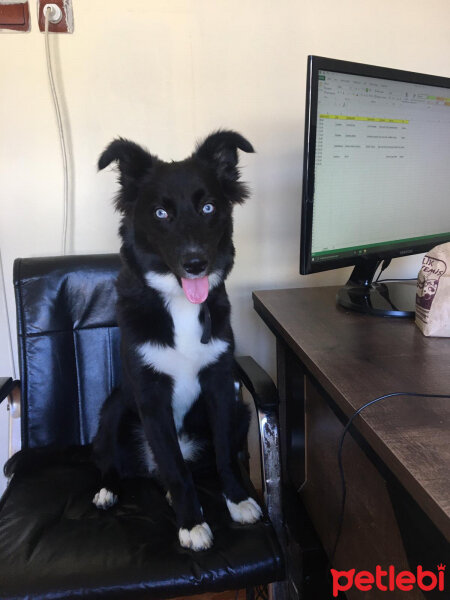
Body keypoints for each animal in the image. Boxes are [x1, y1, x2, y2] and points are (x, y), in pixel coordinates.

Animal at [92, 132, 260, 552]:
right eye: (160, 214)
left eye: (208, 206)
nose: (196, 264)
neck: (180, 303)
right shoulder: (151, 396)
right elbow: (176, 469)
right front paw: (192, 524)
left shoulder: (221, 385)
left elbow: (224, 454)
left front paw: (237, 501)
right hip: (115, 407)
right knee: (115, 460)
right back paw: (107, 490)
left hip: (242, 411)